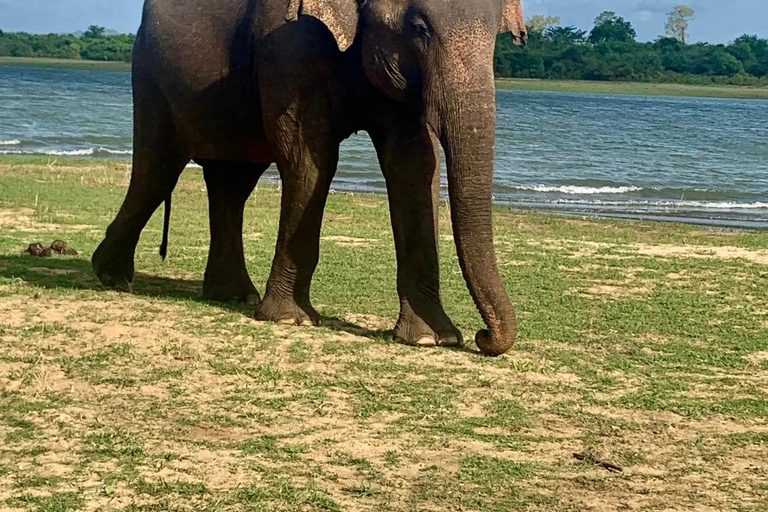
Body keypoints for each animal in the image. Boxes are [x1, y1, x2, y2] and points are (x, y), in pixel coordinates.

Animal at [88, 0, 520, 356]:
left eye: (497, 34)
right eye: (420, 28)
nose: (483, 337)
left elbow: (414, 164)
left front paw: (433, 339)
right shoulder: (291, 44)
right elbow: (310, 158)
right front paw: (290, 319)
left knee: (231, 183)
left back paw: (232, 296)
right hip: (150, 74)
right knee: (157, 169)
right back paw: (112, 276)